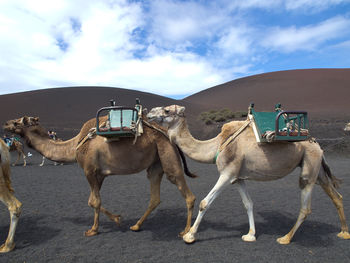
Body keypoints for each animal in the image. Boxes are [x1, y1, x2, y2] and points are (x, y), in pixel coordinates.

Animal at [2, 115, 196, 237]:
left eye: (18, 122)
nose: (5, 124)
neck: (74, 146)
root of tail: (170, 136)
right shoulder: (99, 174)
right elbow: (92, 200)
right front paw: (116, 219)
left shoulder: (89, 170)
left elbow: (94, 201)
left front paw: (93, 230)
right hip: (156, 163)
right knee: (155, 196)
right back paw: (136, 225)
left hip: (167, 154)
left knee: (187, 193)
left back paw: (186, 231)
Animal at [148, 105, 350, 245]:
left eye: (167, 110)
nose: (149, 113)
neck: (216, 145)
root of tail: (316, 143)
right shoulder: (238, 178)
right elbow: (248, 203)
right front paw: (250, 234)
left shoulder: (227, 173)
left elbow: (205, 202)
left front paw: (189, 235)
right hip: (317, 167)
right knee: (336, 196)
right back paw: (344, 232)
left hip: (309, 166)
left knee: (306, 206)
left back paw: (285, 238)